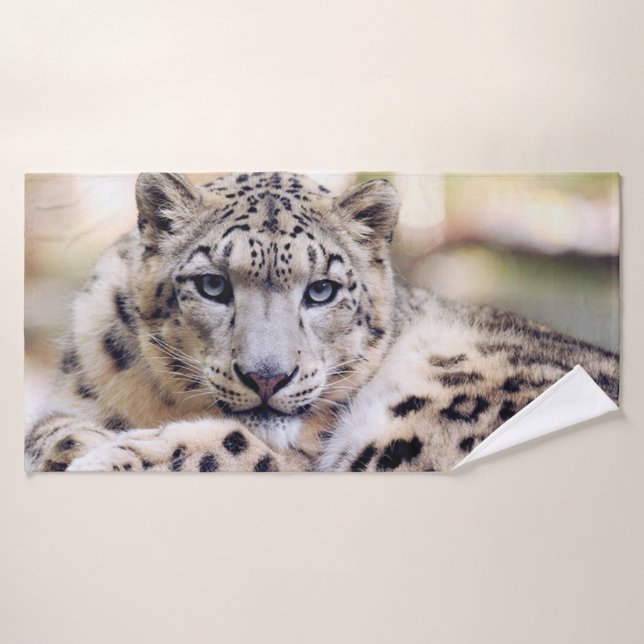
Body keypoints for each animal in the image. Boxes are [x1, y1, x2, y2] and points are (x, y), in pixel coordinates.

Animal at [24, 172, 620, 473]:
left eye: (321, 290)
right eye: (213, 285)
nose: (266, 377)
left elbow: (239, 450)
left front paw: (105, 456)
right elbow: (46, 429)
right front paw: (75, 443)